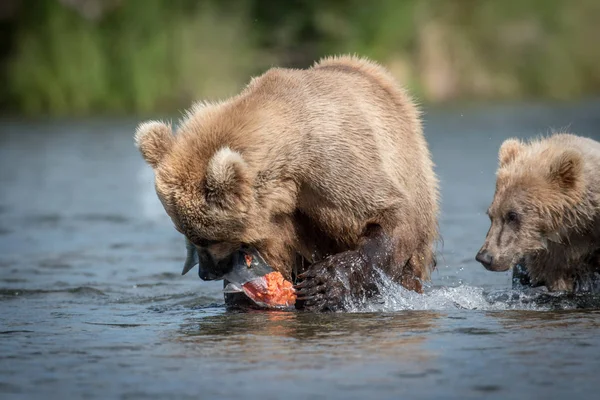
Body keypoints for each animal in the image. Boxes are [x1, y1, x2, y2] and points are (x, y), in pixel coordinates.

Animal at [134, 54, 438, 310]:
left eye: (207, 237)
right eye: (185, 233)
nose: (206, 272)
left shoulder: (332, 166)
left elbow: (390, 214)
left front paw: (324, 283)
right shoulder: (277, 220)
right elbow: (278, 256)